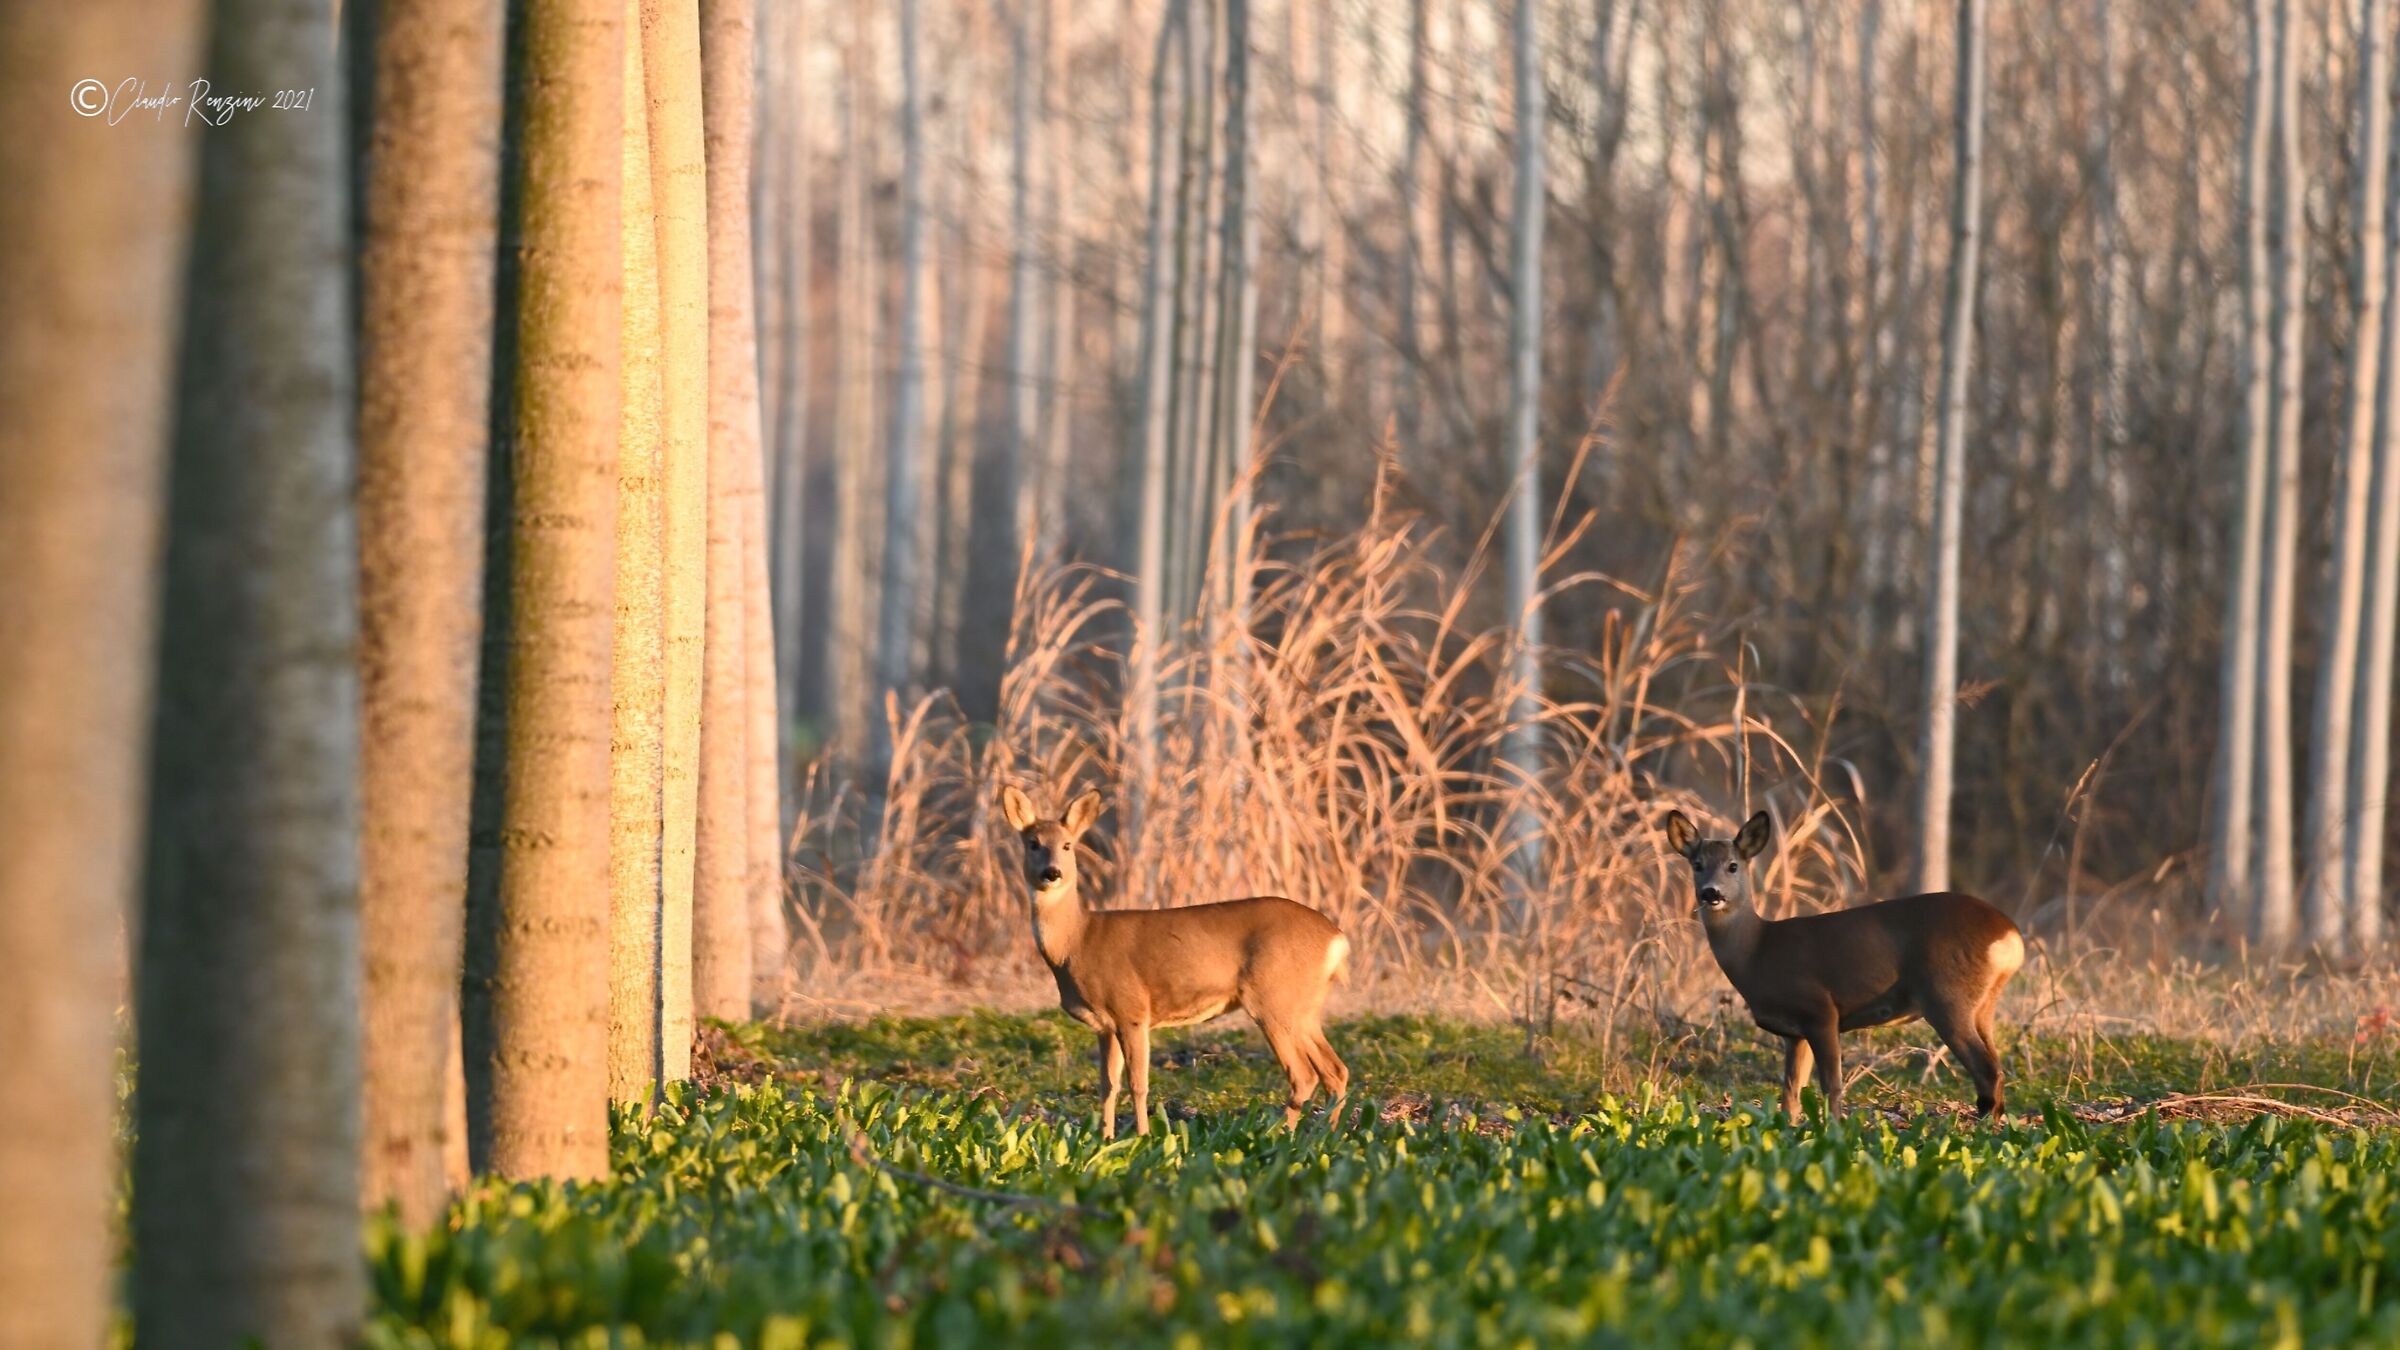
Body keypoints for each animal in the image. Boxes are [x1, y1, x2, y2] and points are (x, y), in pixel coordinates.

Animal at [999, 784, 1351, 1139]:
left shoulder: (1132, 1010)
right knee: (1336, 1069)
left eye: (1067, 845)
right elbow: (1107, 1085)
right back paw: (1328, 1134)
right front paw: (1105, 1138)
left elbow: (1137, 1083)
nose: (1052, 873)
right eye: (1033, 843)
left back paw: (1279, 1134)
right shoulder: (1104, 1025)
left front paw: (1142, 1136)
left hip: (1273, 998)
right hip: (1304, 1006)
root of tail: (1336, 938)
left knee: (1303, 1075)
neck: (1077, 941)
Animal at [1662, 809, 2026, 1122]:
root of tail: (2010, 934)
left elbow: (1831, 1086)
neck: (1758, 950)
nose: (1711, 893)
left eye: (1733, 866)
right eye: (1697, 864)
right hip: (1983, 1003)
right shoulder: (1794, 1032)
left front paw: (1834, 1130)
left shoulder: (1820, 1009)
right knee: (1996, 1066)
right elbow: (1790, 1092)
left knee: (1987, 1070)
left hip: (1947, 996)